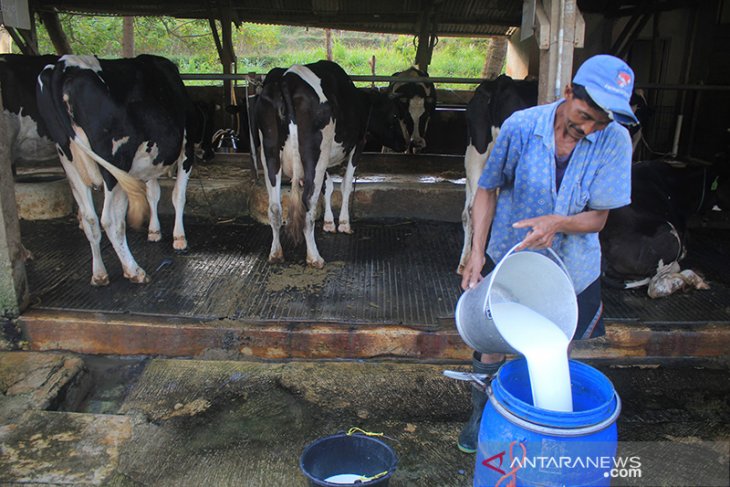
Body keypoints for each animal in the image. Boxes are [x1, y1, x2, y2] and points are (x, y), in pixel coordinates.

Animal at [36, 54, 196, 286]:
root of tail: (62, 66)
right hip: (113, 165)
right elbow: (178, 196)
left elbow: (153, 194)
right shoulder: (187, 147)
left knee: (91, 219)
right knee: (110, 220)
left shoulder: (150, 160)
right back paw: (134, 270)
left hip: (69, 163)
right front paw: (179, 238)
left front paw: (154, 231)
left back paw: (99, 274)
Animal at [255, 60, 404, 270]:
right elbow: (345, 185)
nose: (405, 144)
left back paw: (276, 254)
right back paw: (314, 257)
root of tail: (287, 78)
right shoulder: (358, 144)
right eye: (395, 116)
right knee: (307, 203)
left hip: (269, 152)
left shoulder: (324, 160)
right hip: (314, 153)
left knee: (275, 207)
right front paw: (343, 224)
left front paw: (328, 223)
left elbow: (329, 186)